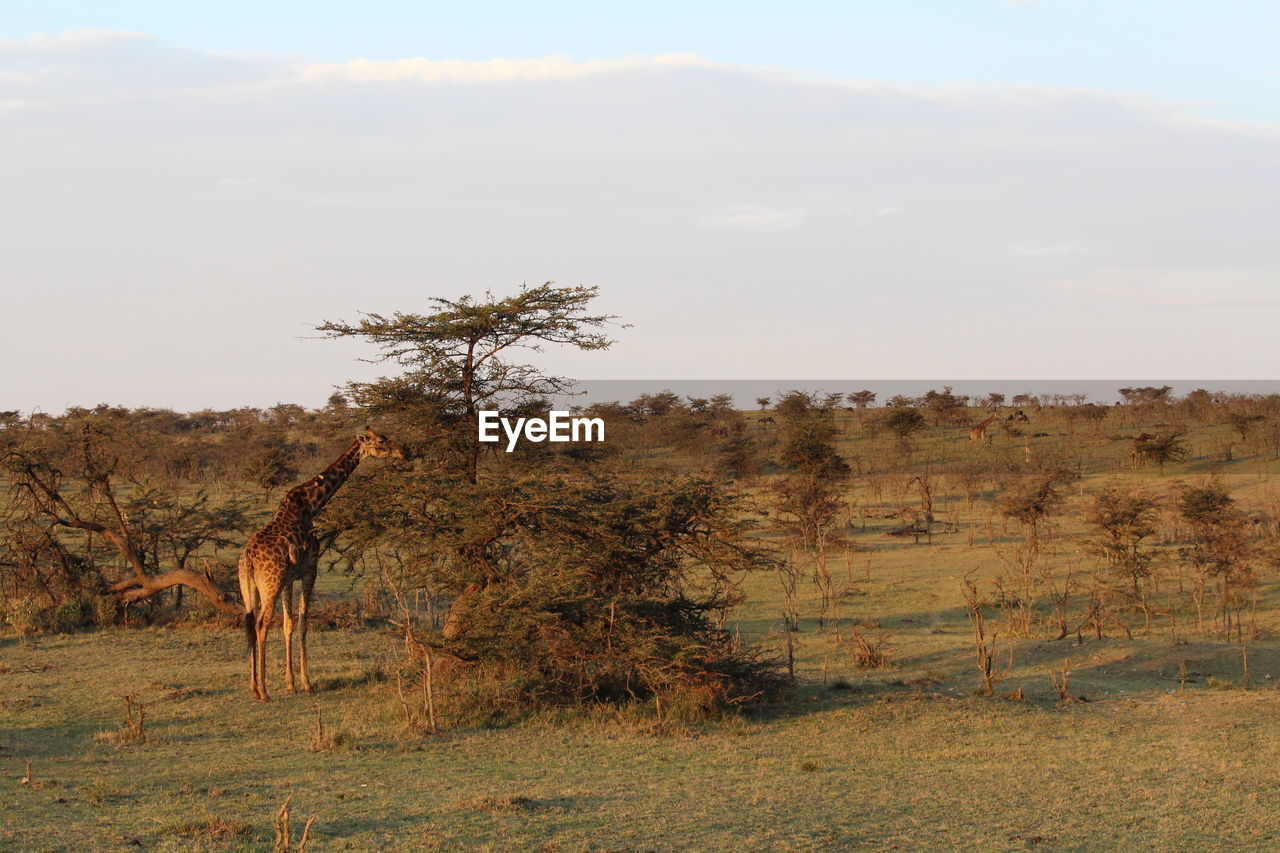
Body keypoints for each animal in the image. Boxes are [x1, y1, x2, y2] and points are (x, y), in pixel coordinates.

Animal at [238, 425, 401, 696]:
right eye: (380, 441)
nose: (402, 451)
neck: (311, 504)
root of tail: (249, 558)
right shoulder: (310, 570)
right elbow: (304, 623)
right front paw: (306, 683)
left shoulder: (289, 579)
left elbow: (289, 624)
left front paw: (291, 683)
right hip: (269, 585)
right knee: (261, 625)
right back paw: (264, 691)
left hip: (248, 587)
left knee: (250, 624)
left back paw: (253, 687)